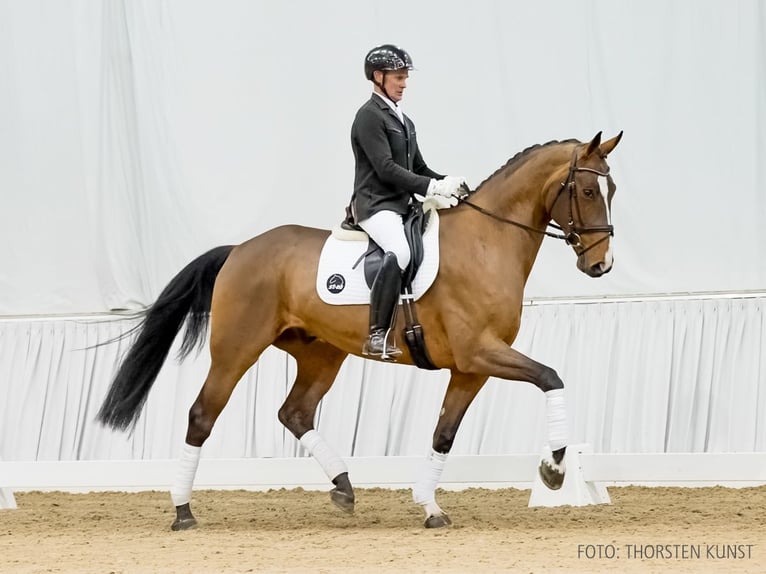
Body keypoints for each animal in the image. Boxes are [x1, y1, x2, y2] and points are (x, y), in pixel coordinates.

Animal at [97, 133, 624, 532]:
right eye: (588, 192)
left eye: (612, 190)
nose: (601, 265)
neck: (487, 241)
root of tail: (240, 249)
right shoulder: (481, 353)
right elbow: (551, 377)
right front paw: (554, 469)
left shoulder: (470, 368)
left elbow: (443, 434)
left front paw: (430, 506)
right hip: (236, 349)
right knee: (203, 415)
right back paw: (183, 512)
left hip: (321, 353)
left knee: (295, 412)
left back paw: (344, 488)